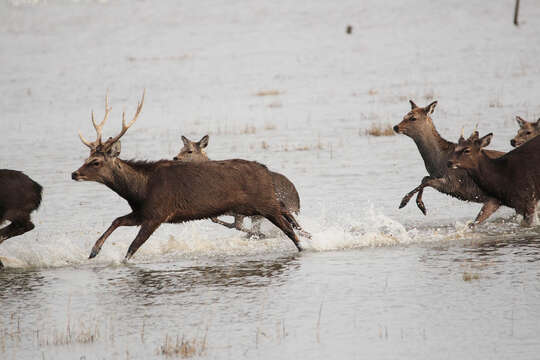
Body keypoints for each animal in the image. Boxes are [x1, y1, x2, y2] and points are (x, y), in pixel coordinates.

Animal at [173, 134, 308, 238]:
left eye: (189, 151)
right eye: (180, 148)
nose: (175, 158)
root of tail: (297, 201)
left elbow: (237, 225)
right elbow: (222, 221)